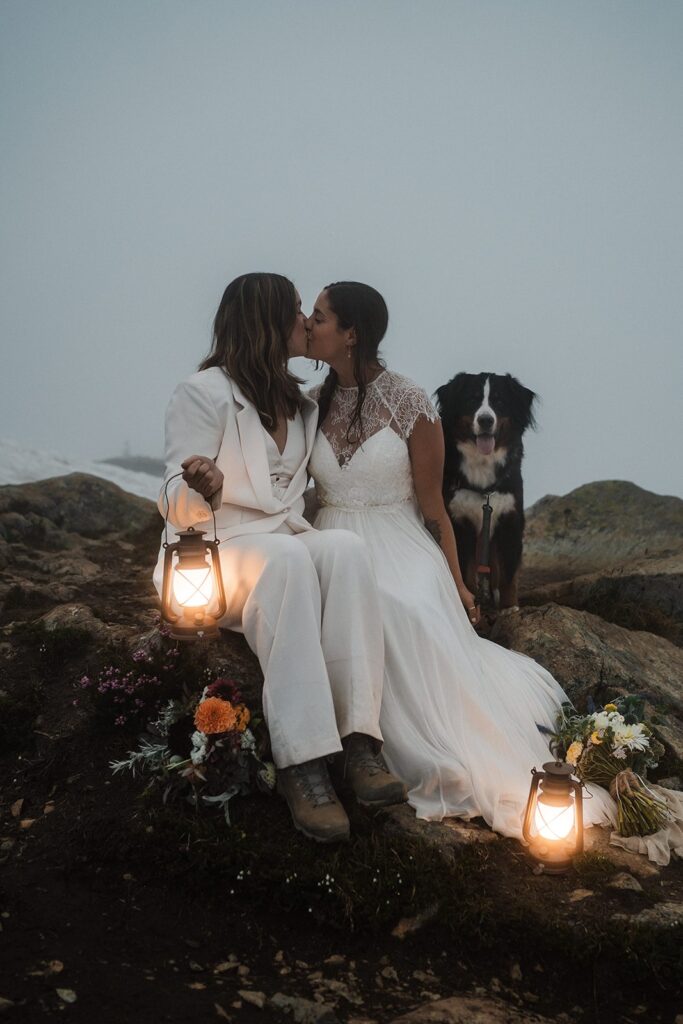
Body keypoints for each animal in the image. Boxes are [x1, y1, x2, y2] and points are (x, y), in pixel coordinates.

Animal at [436, 374, 536, 606]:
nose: (485, 420)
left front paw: (510, 607)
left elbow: (508, 572)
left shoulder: (510, 518)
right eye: (472, 399)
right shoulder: (459, 520)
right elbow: (464, 572)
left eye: (499, 401)